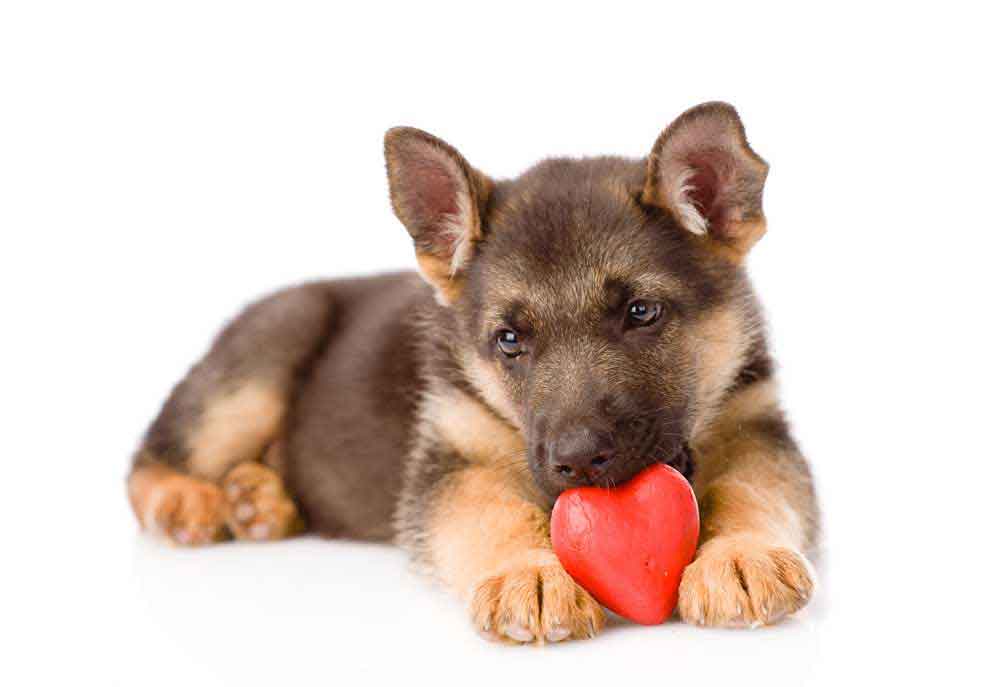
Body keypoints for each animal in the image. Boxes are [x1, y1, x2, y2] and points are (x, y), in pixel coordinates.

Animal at [131, 102, 820, 644]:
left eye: (641, 312)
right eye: (509, 340)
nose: (577, 461)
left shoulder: (759, 430)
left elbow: (753, 491)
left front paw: (742, 554)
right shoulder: (455, 460)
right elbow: (495, 514)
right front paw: (529, 574)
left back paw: (259, 499)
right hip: (263, 358)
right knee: (148, 461)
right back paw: (189, 500)